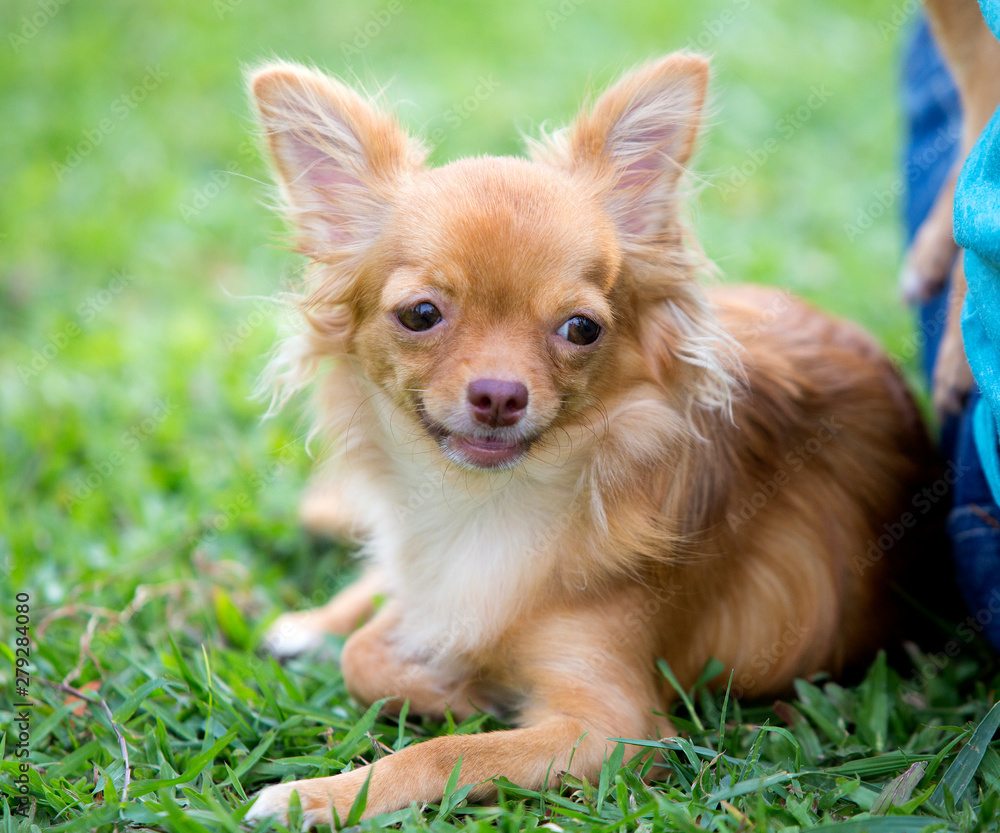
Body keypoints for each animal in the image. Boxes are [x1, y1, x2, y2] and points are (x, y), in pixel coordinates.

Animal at [246, 53, 932, 824]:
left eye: (581, 329)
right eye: (420, 314)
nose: (499, 395)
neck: (484, 504)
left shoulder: (614, 729)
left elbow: (448, 749)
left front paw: (326, 789)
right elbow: (367, 650)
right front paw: (446, 679)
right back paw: (311, 624)